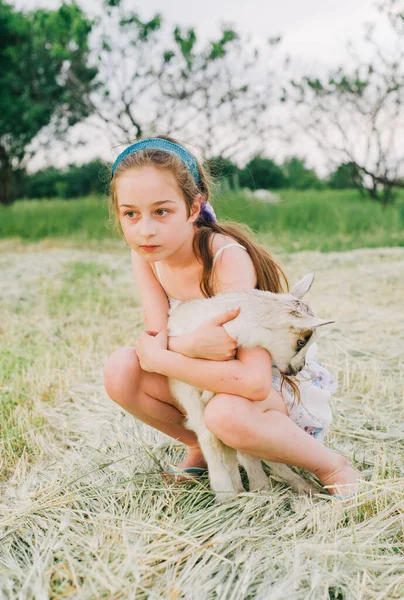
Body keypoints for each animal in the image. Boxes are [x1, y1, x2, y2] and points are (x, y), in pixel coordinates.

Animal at [167, 274, 334, 502]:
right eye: (301, 342)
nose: (298, 369)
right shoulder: (185, 388)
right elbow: (211, 438)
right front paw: (226, 494)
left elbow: (235, 445)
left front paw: (258, 487)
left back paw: (304, 487)